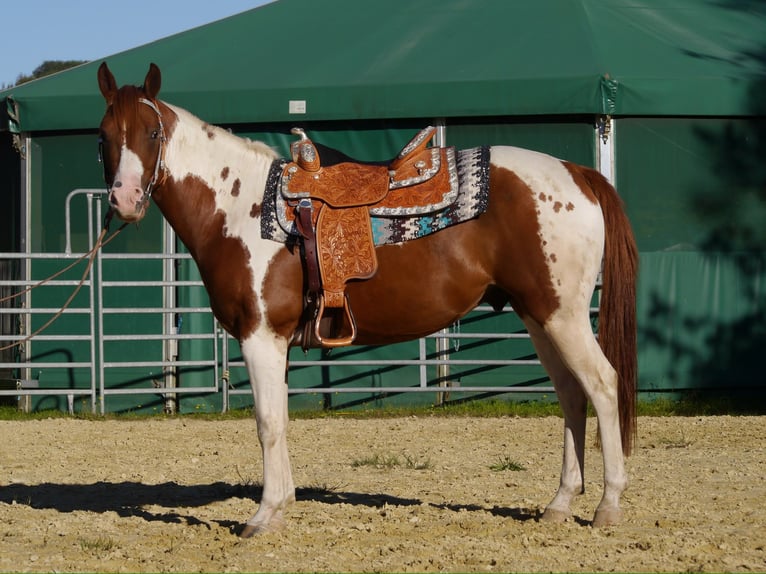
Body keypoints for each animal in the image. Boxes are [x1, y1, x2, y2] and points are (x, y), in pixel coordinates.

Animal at [96, 62, 638, 538]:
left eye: (152, 133)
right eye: (103, 136)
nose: (124, 199)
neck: (239, 208)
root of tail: (576, 172)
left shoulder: (261, 335)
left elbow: (267, 423)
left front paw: (263, 517)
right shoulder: (276, 342)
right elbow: (282, 420)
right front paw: (282, 506)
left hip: (563, 316)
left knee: (602, 384)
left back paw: (609, 506)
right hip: (539, 315)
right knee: (571, 393)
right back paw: (560, 504)